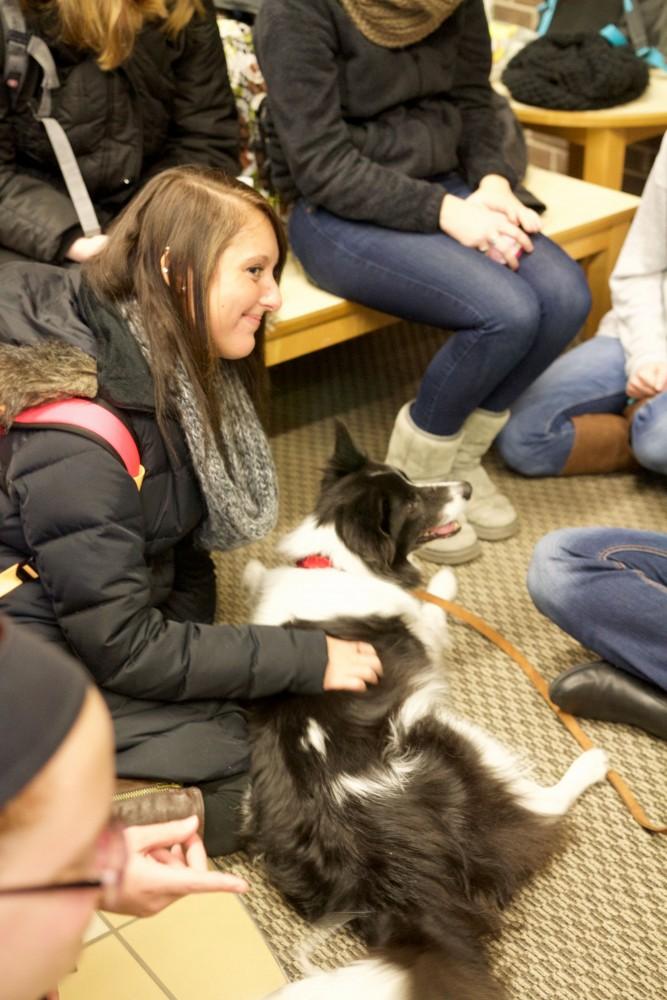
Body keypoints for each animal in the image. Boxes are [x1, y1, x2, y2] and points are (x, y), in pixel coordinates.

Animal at [245, 424, 612, 1000]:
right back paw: (590, 765)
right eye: (414, 502)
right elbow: (432, 614)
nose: (465, 487)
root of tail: (384, 871)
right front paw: (444, 584)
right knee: (538, 808)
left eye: (410, 479)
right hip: (443, 734)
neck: (338, 556)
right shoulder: (422, 636)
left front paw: (254, 570)